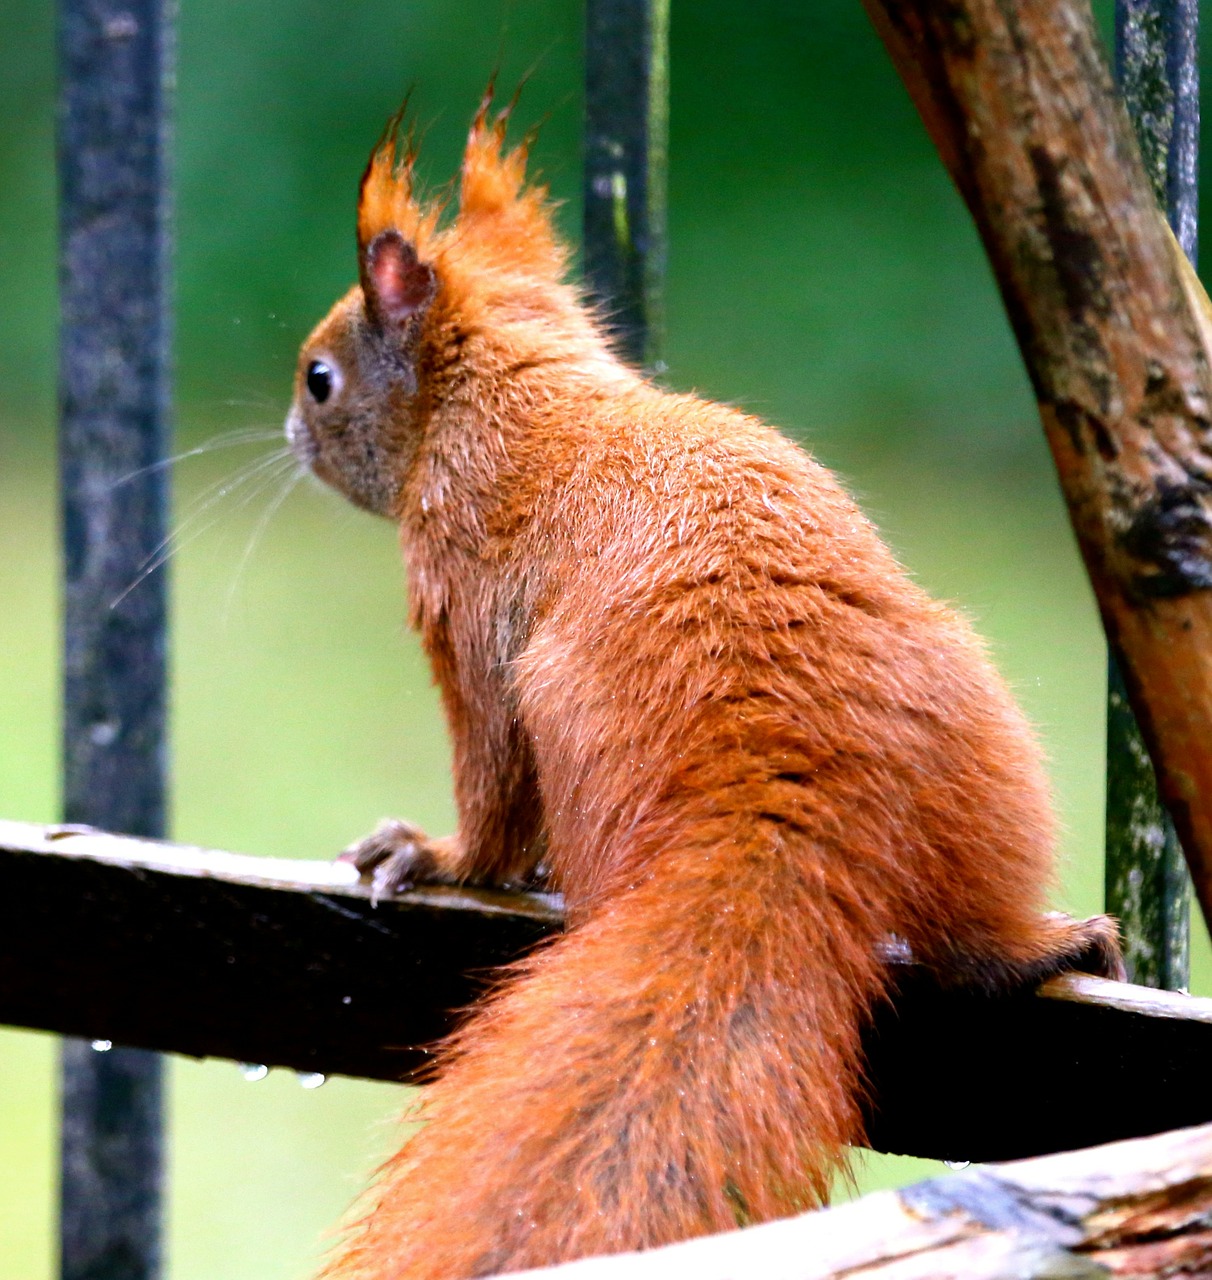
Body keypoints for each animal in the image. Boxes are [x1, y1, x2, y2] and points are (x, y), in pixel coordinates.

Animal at [281, 92, 1116, 1280]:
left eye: (322, 379)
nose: (294, 432)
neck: (512, 390)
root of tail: (781, 815)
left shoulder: (459, 590)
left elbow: (488, 785)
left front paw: (435, 854)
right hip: (986, 763)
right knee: (967, 946)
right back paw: (1046, 945)